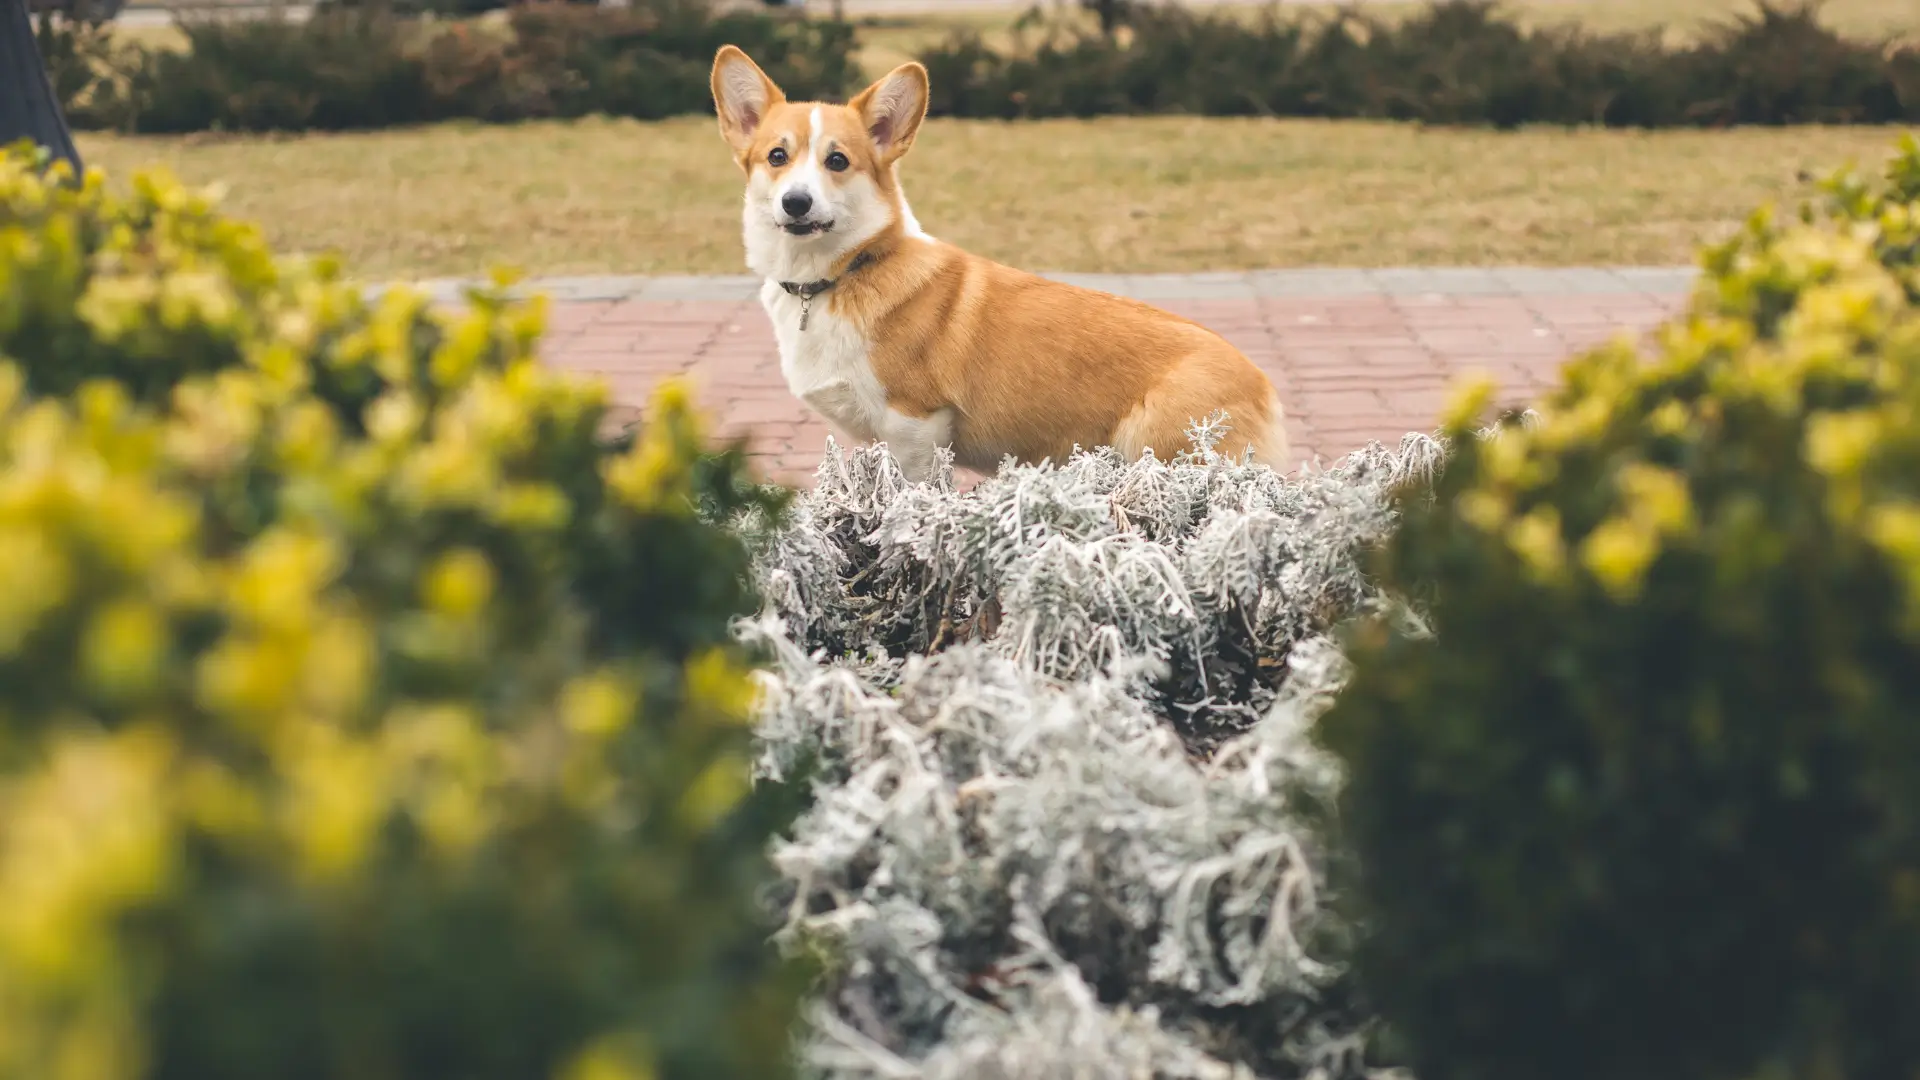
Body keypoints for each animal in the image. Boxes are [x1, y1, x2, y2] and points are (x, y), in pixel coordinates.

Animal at [710, 42, 1290, 478]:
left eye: (837, 161)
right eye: (777, 157)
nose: (796, 202)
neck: (843, 274)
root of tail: (1264, 383)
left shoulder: (914, 425)